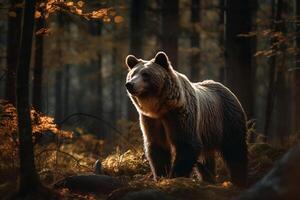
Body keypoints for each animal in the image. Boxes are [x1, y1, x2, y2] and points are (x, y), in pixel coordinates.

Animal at [125, 51, 248, 186]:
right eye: (132, 74)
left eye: (145, 74)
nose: (130, 84)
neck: (161, 108)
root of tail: (228, 90)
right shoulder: (152, 121)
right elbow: (158, 147)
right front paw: (161, 175)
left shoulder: (181, 116)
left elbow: (187, 144)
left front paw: (175, 176)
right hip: (208, 132)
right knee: (206, 158)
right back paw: (208, 179)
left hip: (228, 119)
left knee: (235, 149)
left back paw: (239, 179)